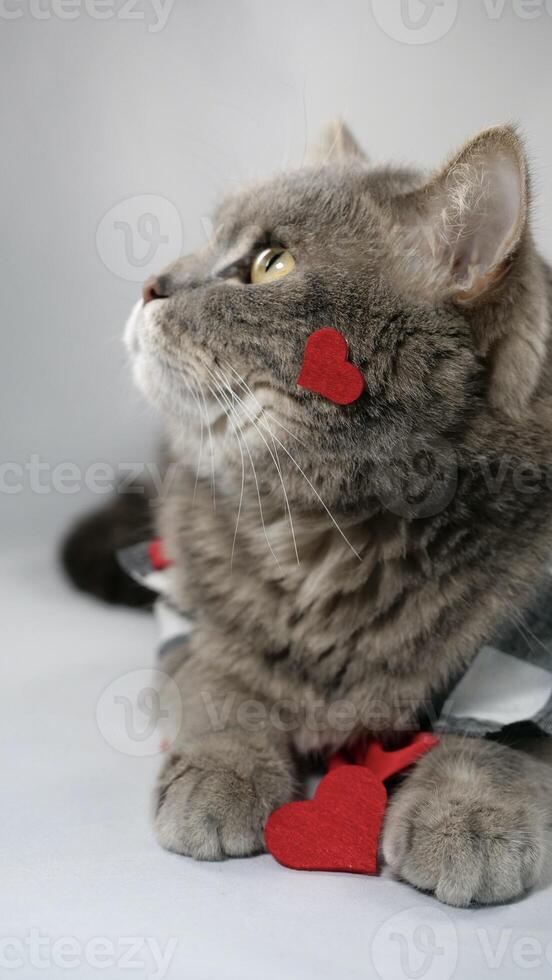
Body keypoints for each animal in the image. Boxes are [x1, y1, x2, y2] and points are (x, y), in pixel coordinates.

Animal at [70, 120, 552, 904]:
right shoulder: (189, 612)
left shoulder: (531, 637)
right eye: (210, 239)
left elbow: (509, 734)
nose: (150, 285)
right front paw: (220, 773)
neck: (325, 535)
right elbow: (221, 679)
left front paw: (469, 812)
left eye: (272, 263)